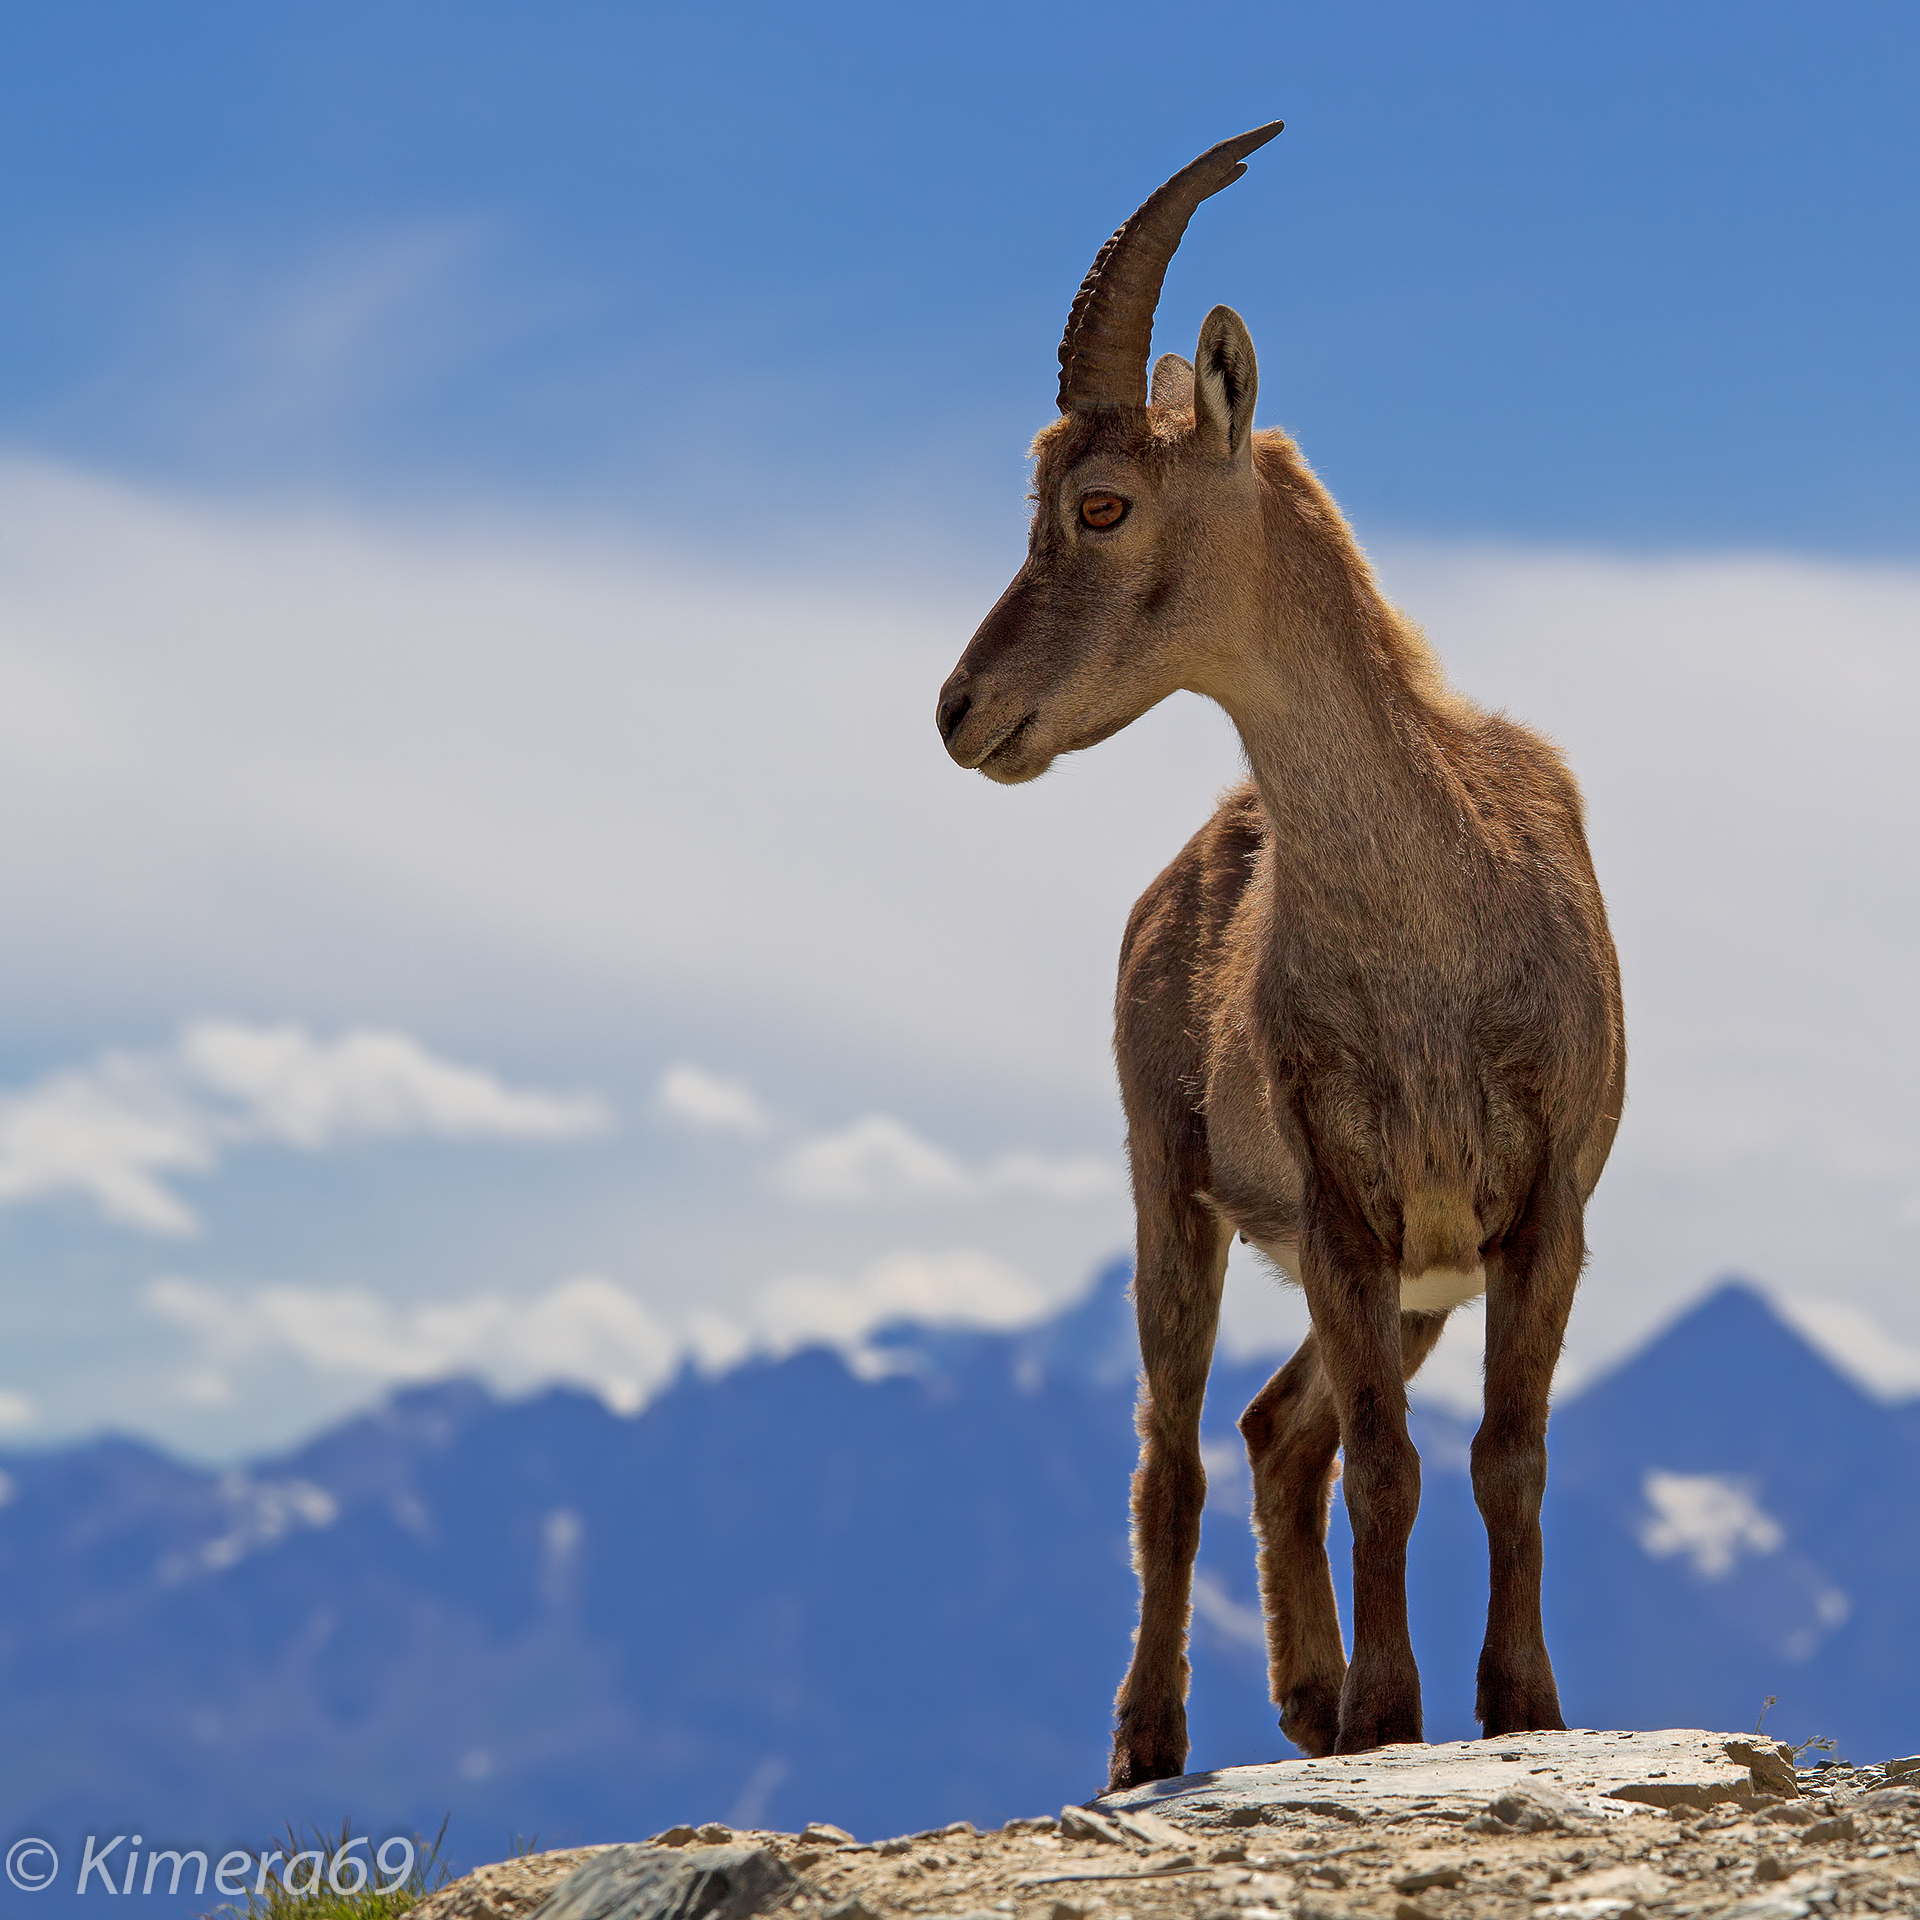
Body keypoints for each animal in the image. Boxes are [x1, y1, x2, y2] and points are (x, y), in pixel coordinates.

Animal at [935, 124, 1624, 1785]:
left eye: (1101, 505)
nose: (959, 710)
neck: (1436, 927)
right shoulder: (1340, 1196)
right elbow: (1389, 1464)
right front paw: (1394, 1716)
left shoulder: (1535, 1209)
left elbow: (1508, 1457)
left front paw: (1520, 1707)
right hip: (1170, 1178)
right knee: (1174, 1454)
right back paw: (1154, 1737)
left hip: (1396, 1275)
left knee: (1269, 1427)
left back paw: (1302, 1699)